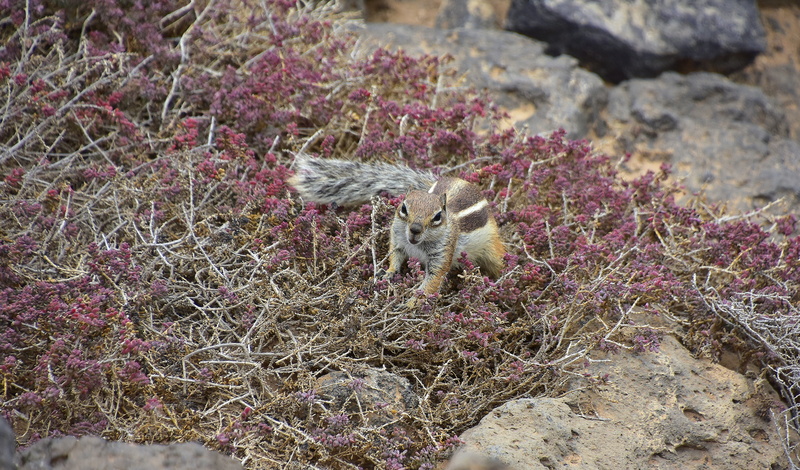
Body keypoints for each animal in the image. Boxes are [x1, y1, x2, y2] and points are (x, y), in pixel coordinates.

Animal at [288, 155, 505, 297]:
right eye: (403, 207)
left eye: (437, 217)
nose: (415, 229)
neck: (417, 245)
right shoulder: (398, 240)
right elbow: (395, 257)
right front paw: (388, 273)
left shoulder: (442, 253)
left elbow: (433, 280)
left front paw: (411, 303)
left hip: (491, 247)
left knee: (496, 260)